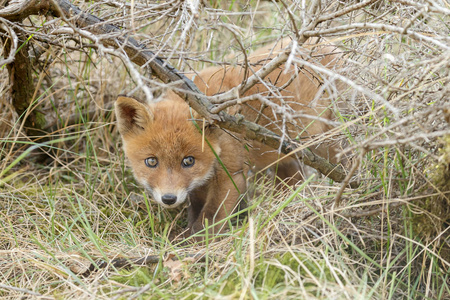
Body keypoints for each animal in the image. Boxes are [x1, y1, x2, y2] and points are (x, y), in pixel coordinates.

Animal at [115, 38, 342, 237]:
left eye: (188, 161)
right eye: (151, 161)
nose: (169, 198)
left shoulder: (230, 175)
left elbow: (208, 220)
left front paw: (192, 246)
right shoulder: (199, 183)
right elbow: (196, 211)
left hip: (325, 142)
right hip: (282, 155)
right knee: (294, 179)